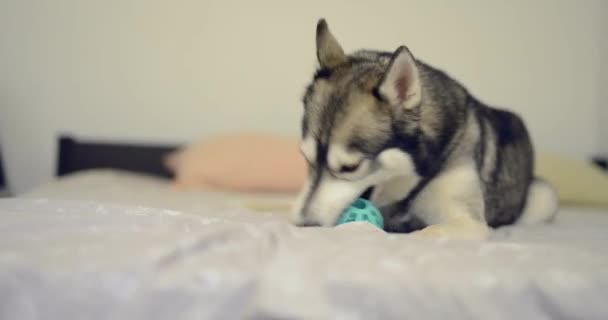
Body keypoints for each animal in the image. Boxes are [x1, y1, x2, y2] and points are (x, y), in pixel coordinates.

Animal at [292, 18, 560, 239]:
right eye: (306, 159)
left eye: (351, 167)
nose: (304, 224)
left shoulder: (469, 223)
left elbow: (426, 233)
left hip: (542, 198)